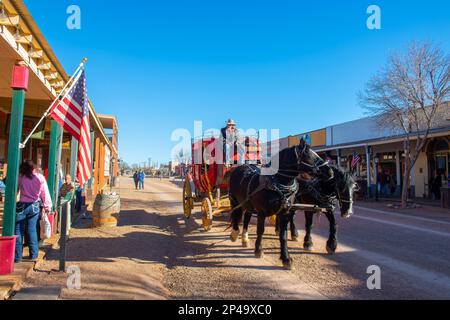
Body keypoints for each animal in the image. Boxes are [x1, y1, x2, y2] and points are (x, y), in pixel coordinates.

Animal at [230, 139, 332, 268]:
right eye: (308, 155)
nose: (330, 171)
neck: (277, 184)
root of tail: (240, 167)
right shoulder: (261, 212)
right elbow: (260, 231)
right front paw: (259, 250)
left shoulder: (284, 213)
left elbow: (283, 235)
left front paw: (286, 259)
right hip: (234, 200)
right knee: (235, 215)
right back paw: (234, 233)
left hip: (248, 204)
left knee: (247, 218)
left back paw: (245, 239)